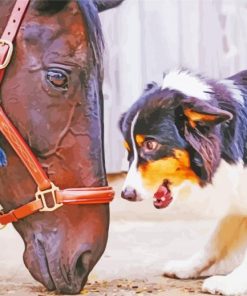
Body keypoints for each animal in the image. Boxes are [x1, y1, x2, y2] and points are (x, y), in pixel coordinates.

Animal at [119, 69, 247, 296]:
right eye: (128, 149)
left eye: (150, 145)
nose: (126, 194)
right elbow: (215, 240)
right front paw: (187, 268)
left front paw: (231, 283)